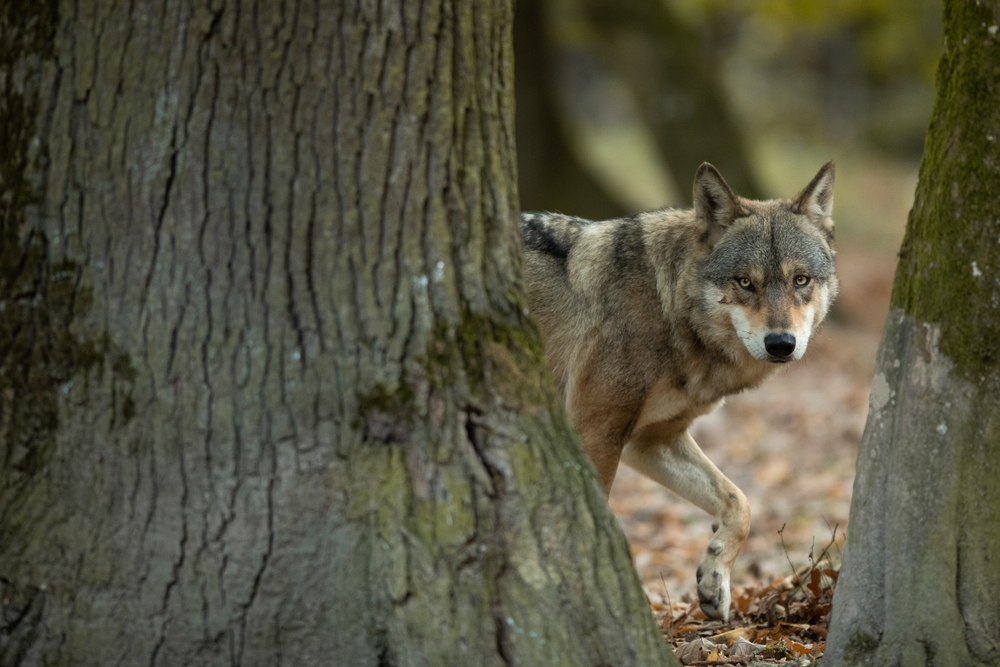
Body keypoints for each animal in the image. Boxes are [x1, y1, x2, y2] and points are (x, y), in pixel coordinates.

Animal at [521, 162, 838, 621]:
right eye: (746, 282)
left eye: (801, 280)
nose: (781, 343)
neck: (666, 306)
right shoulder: (595, 431)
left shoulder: (651, 440)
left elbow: (739, 503)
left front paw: (714, 582)